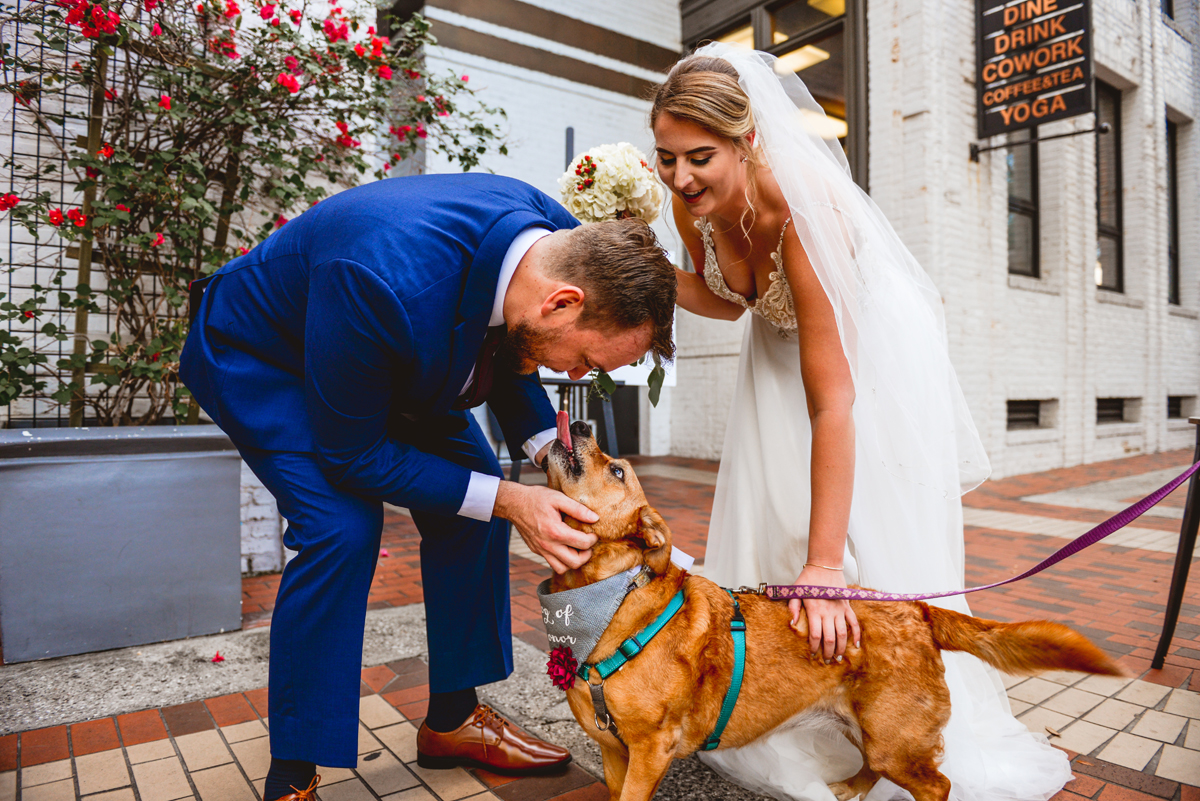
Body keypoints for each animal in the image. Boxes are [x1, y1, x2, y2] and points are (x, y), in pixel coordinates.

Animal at [544, 419, 1123, 801]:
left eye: (618, 471)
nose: (582, 420)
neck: (605, 599)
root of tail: (915, 609)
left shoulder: (649, 753)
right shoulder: (614, 752)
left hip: (895, 737)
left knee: (936, 783)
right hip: (864, 725)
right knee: (873, 765)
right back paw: (848, 788)